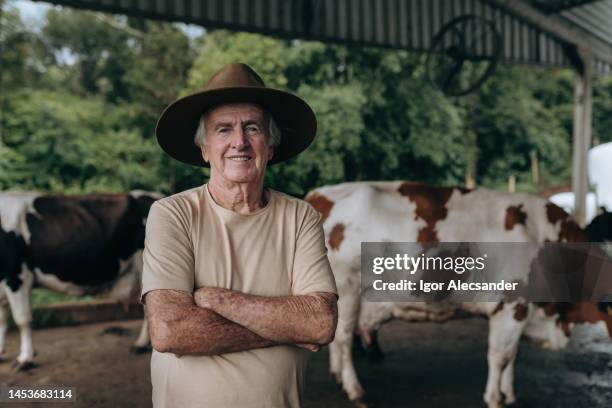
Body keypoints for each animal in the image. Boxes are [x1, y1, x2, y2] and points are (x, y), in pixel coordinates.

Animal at [306, 182, 612, 408]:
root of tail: (319, 194)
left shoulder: (521, 312)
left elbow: (513, 355)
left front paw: (509, 394)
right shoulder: (511, 306)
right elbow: (500, 356)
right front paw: (494, 398)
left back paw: (339, 377)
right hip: (347, 290)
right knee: (345, 340)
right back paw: (355, 390)